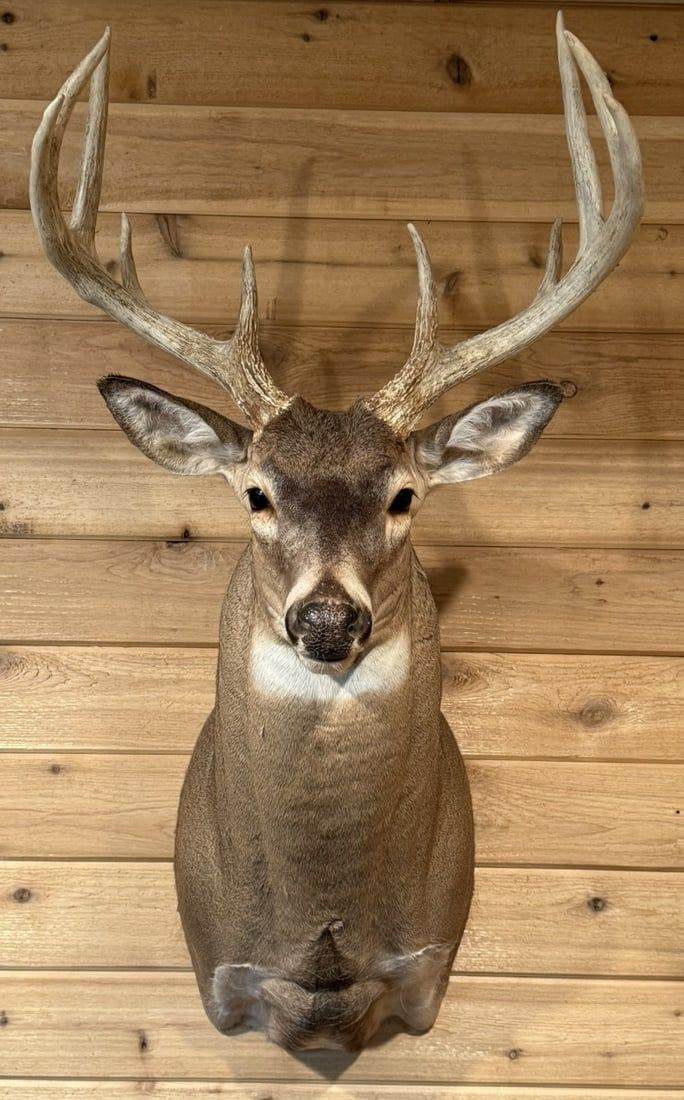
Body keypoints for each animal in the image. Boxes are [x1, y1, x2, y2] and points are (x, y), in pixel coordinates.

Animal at [30, 14, 642, 1052]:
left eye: (404, 496)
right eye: (255, 493)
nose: (326, 619)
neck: (321, 931)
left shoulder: (427, 975)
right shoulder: (222, 983)